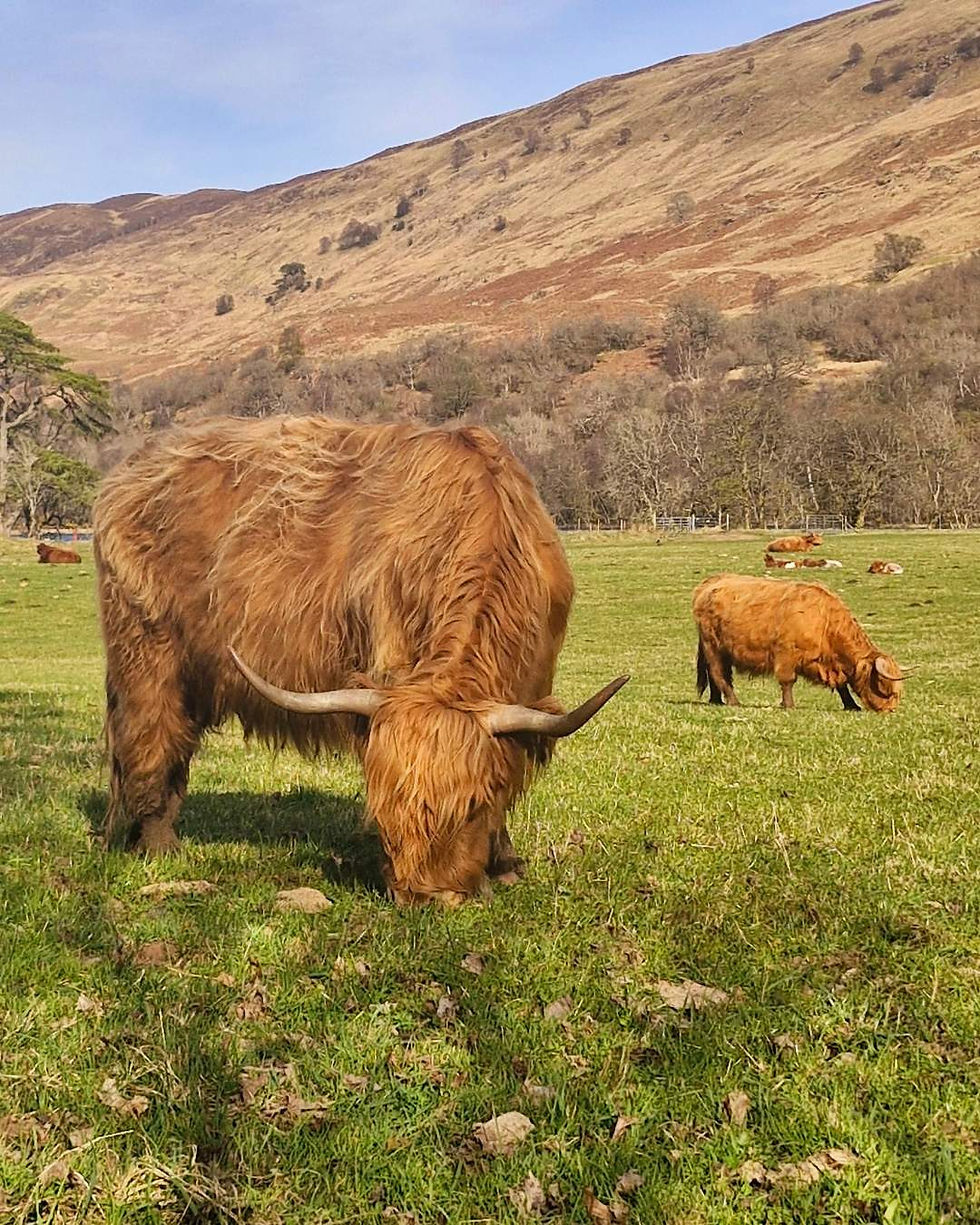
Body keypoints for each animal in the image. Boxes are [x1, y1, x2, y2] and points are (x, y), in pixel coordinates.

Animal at [93, 417, 628, 907]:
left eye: (474, 806)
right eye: (382, 809)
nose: (426, 899)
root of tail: (133, 470)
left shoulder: (531, 685)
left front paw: (506, 864)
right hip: (146, 653)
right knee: (151, 740)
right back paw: (159, 847)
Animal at [693, 573, 906, 712]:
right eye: (885, 687)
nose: (890, 709)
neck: (825, 623)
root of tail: (709, 583)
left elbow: (842, 685)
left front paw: (851, 705)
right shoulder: (786, 654)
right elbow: (788, 681)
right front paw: (789, 705)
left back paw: (716, 700)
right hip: (713, 647)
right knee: (719, 674)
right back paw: (733, 701)